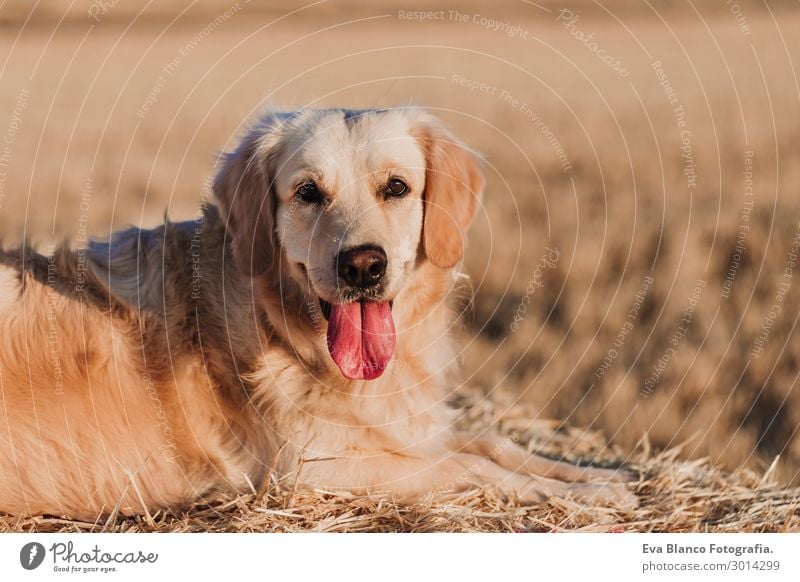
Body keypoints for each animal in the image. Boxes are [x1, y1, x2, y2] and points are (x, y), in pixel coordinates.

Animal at [0, 107, 636, 516]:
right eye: (307, 193)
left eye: (396, 187)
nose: (363, 266)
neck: (278, 327)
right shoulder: (307, 468)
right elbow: (471, 468)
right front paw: (584, 496)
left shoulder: (410, 428)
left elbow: (495, 444)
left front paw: (600, 478)